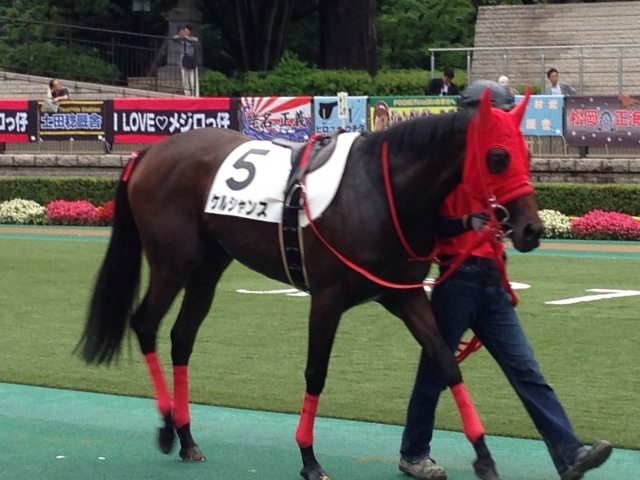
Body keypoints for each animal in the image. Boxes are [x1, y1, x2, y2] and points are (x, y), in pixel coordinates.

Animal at [77, 89, 542, 480]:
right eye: (498, 156)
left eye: (525, 153)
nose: (532, 229)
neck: (380, 190)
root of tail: (150, 152)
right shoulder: (327, 298)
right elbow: (316, 372)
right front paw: (308, 457)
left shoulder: (404, 296)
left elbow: (446, 362)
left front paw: (483, 454)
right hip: (173, 264)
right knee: (145, 324)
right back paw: (166, 428)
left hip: (209, 266)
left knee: (181, 337)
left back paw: (188, 436)